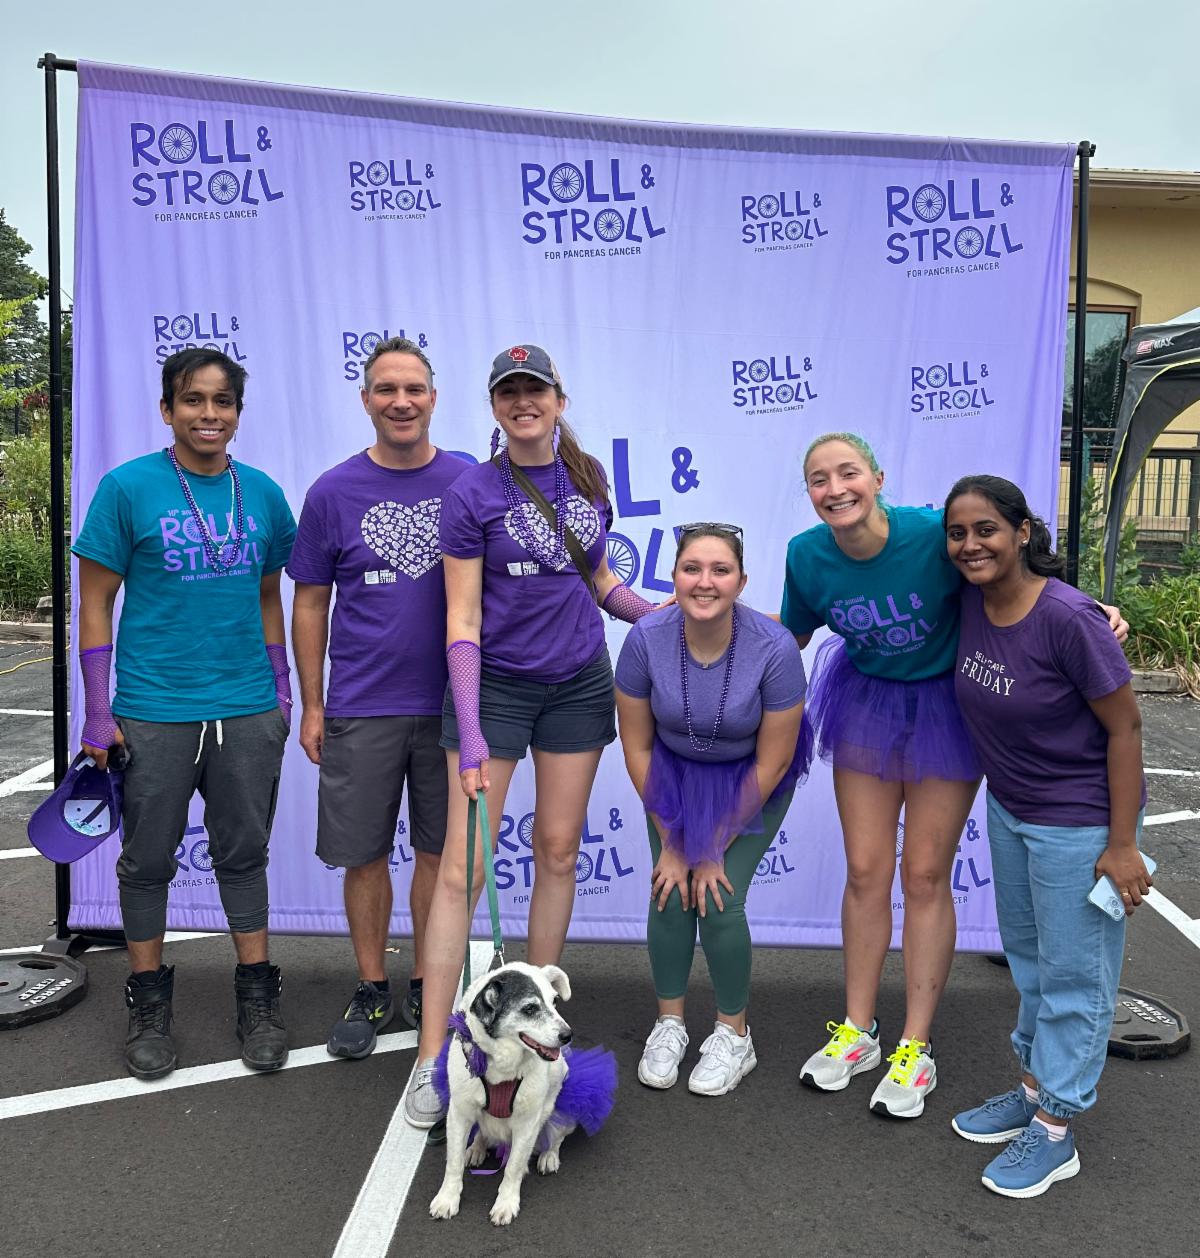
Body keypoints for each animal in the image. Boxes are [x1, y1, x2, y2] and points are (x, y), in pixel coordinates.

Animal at [429, 961, 576, 1227]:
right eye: (530, 1008)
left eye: (555, 1001)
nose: (568, 1035)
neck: (501, 1066)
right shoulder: (459, 1114)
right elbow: (453, 1162)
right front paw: (448, 1198)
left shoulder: (527, 1124)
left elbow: (513, 1167)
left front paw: (506, 1203)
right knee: (482, 1134)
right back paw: (476, 1148)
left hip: (560, 1113)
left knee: (555, 1138)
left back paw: (549, 1156)